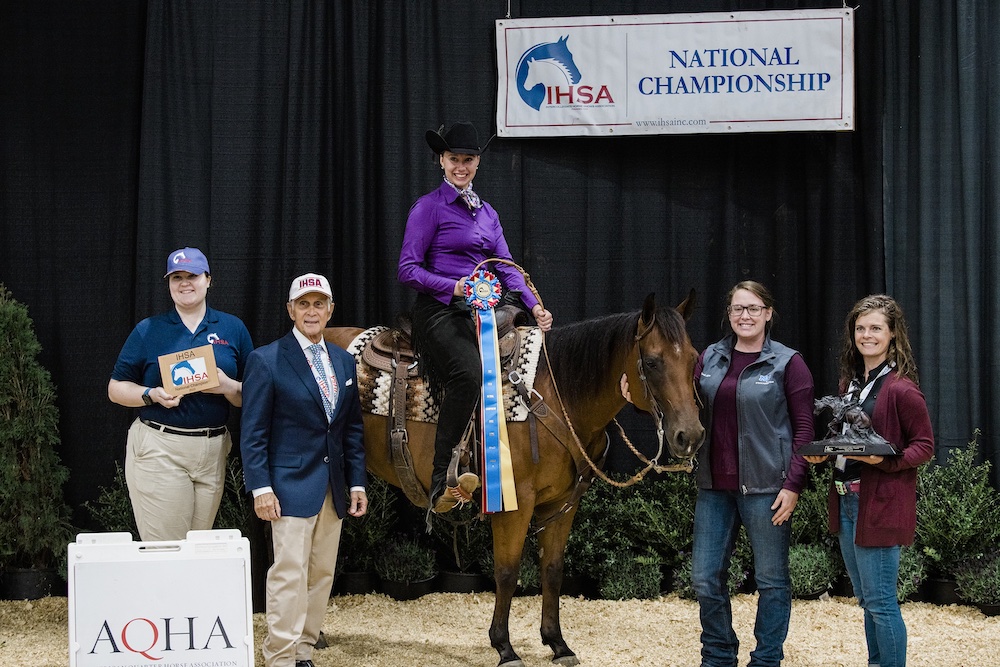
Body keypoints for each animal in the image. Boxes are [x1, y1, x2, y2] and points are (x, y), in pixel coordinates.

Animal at [324, 294, 708, 667]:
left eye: (693, 359)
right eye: (653, 362)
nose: (689, 436)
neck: (555, 394)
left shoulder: (562, 503)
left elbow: (552, 570)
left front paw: (557, 643)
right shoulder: (516, 503)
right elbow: (507, 573)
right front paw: (504, 648)